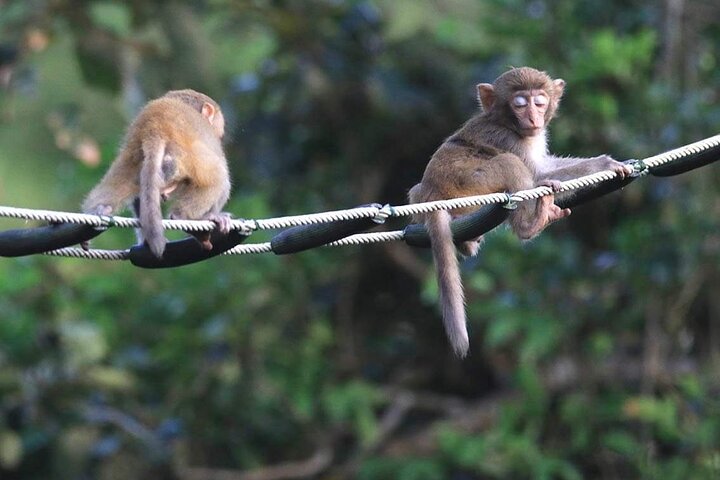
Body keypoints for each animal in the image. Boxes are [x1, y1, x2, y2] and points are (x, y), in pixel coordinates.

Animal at [82, 89, 232, 258]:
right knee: (220, 178)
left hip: (133, 157)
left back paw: (97, 210)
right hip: (187, 156)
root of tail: (155, 128)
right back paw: (184, 217)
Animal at [408, 67, 633, 357]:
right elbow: (537, 174)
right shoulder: (508, 139)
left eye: (539, 102)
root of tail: (433, 195)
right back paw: (529, 225)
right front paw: (606, 164)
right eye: (520, 103)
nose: (533, 118)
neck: (507, 123)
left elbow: (546, 165)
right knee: (509, 164)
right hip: (471, 182)